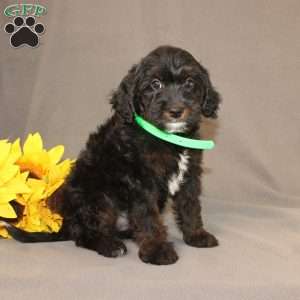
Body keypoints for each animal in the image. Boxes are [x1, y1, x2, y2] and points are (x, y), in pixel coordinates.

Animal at [8, 45, 221, 264]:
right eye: (155, 84)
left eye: (190, 83)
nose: (176, 111)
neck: (168, 138)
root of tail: (67, 223)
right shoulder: (142, 183)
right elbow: (148, 217)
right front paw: (157, 249)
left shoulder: (190, 175)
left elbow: (190, 206)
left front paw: (196, 235)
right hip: (97, 199)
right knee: (85, 235)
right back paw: (109, 246)